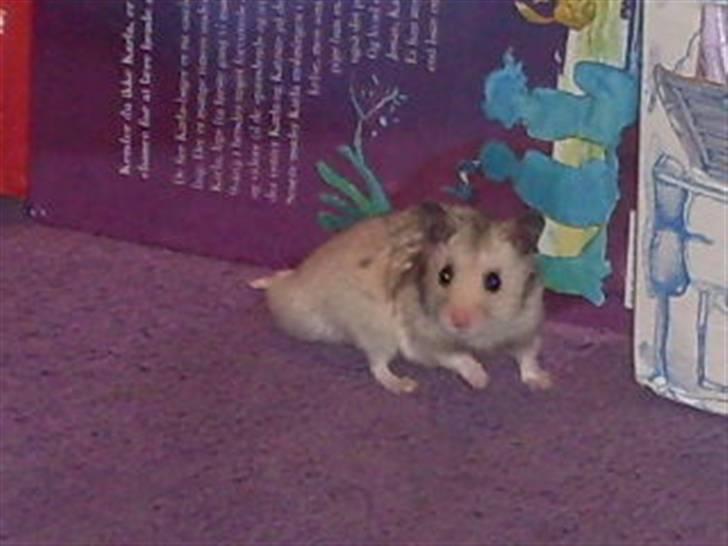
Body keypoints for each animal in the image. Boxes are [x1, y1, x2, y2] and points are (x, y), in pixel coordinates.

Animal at [250, 202, 551, 395]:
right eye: (444, 275)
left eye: (494, 281)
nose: (458, 322)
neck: (479, 336)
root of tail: (296, 285)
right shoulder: (421, 343)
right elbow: (457, 356)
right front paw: (481, 380)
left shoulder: (527, 326)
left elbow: (528, 357)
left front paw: (544, 383)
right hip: (375, 330)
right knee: (377, 365)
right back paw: (405, 385)